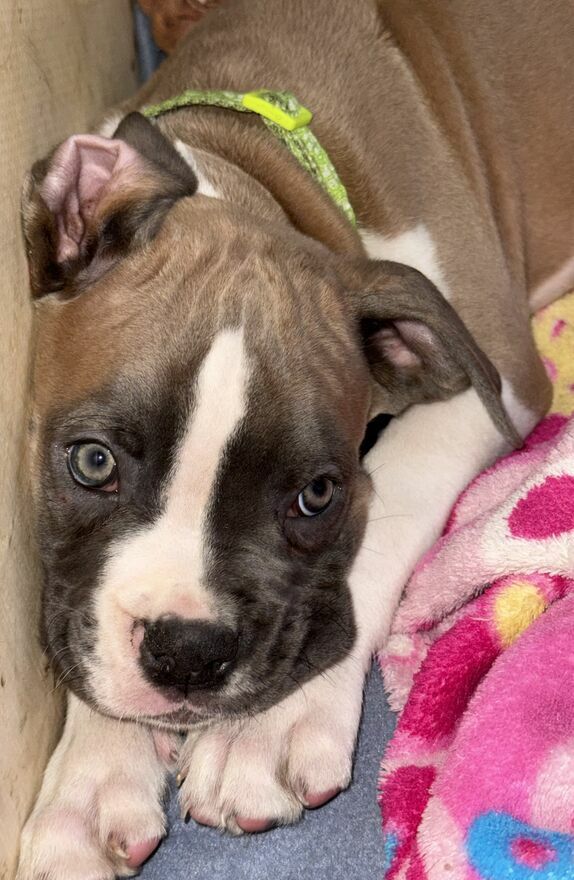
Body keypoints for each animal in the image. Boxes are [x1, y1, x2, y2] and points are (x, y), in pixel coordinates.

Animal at [17, 0, 573, 876]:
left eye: (316, 496)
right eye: (92, 462)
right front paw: (92, 772)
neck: (261, 158)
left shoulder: (501, 378)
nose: (187, 653)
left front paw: (267, 727)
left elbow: (391, 500)